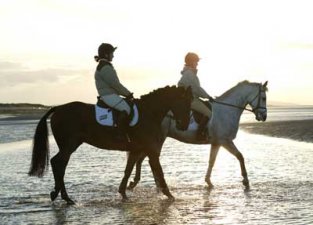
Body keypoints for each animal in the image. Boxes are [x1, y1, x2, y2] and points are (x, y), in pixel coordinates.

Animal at [28, 85, 191, 204]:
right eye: (185, 103)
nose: (184, 125)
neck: (149, 113)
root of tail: (58, 108)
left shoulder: (136, 150)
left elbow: (128, 170)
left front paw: (123, 193)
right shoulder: (151, 151)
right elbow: (159, 172)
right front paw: (169, 195)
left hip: (69, 146)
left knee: (59, 164)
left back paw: (58, 194)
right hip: (69, 146)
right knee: (58, 163)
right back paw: (65, 197)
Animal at [127, 81, 266, 190]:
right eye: (264, 98)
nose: (264, 117)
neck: (227, 111)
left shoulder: (216, 143)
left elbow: (212, 161)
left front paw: (208, 181)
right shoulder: (225, 141)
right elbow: (240, 156)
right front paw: (246, 181)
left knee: (142, 159)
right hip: (158, 139)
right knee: (143, 159)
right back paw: (140, 183)